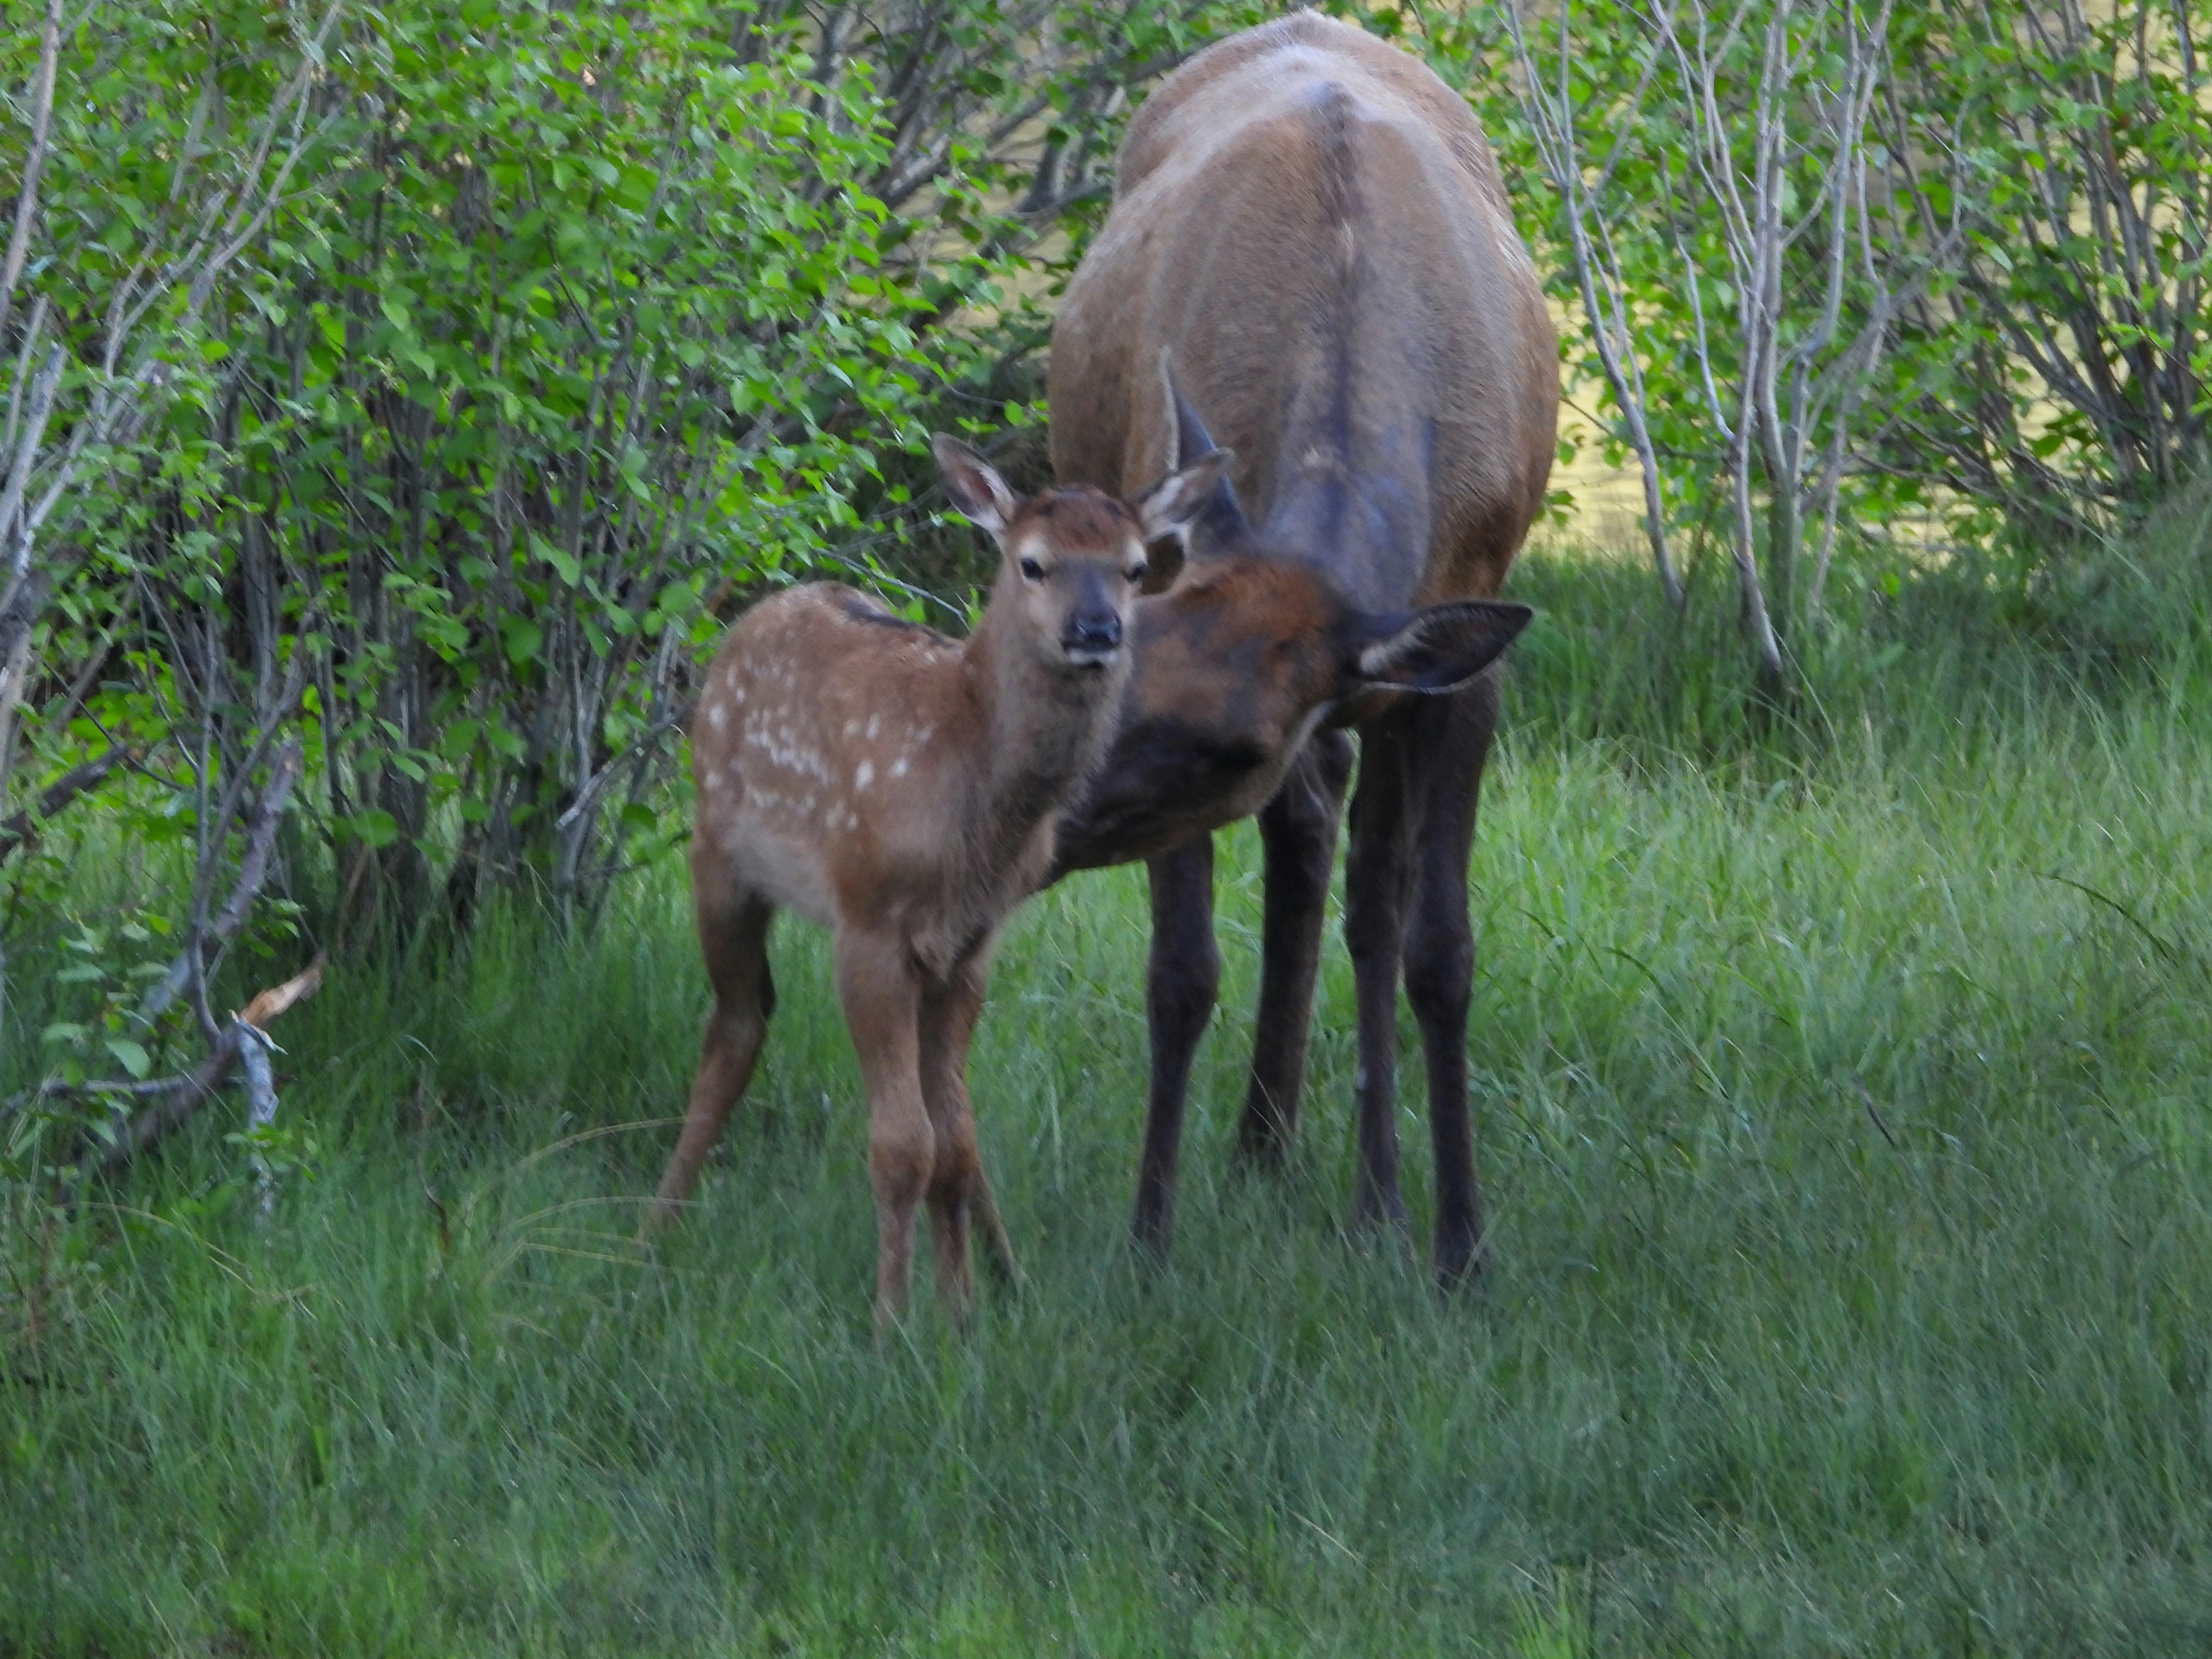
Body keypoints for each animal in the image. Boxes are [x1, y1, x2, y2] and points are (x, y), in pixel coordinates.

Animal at [648, 435, 1226, 1324]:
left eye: (1133, 568)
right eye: (1033, 563)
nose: (1096, 630)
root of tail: (760, 613)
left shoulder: (970, 945)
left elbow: (953, 1142)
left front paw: (960, 1317)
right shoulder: (867, 921)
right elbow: (900, 1145)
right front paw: (891, 1321)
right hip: (718, 853)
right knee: (737, 1026)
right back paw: (654, 1236)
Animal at [1046, 11, 1560, 1284]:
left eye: (1232, 744)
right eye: (1121, 683)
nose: (1049, 825)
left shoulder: (1463, 667)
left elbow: (1441, 950)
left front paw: (1460, 1244)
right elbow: (1181, 973)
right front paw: (1149, 1234)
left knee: (1362, 881)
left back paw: (1366, 1187)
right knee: (1313, 833)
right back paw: (1268, 1140)